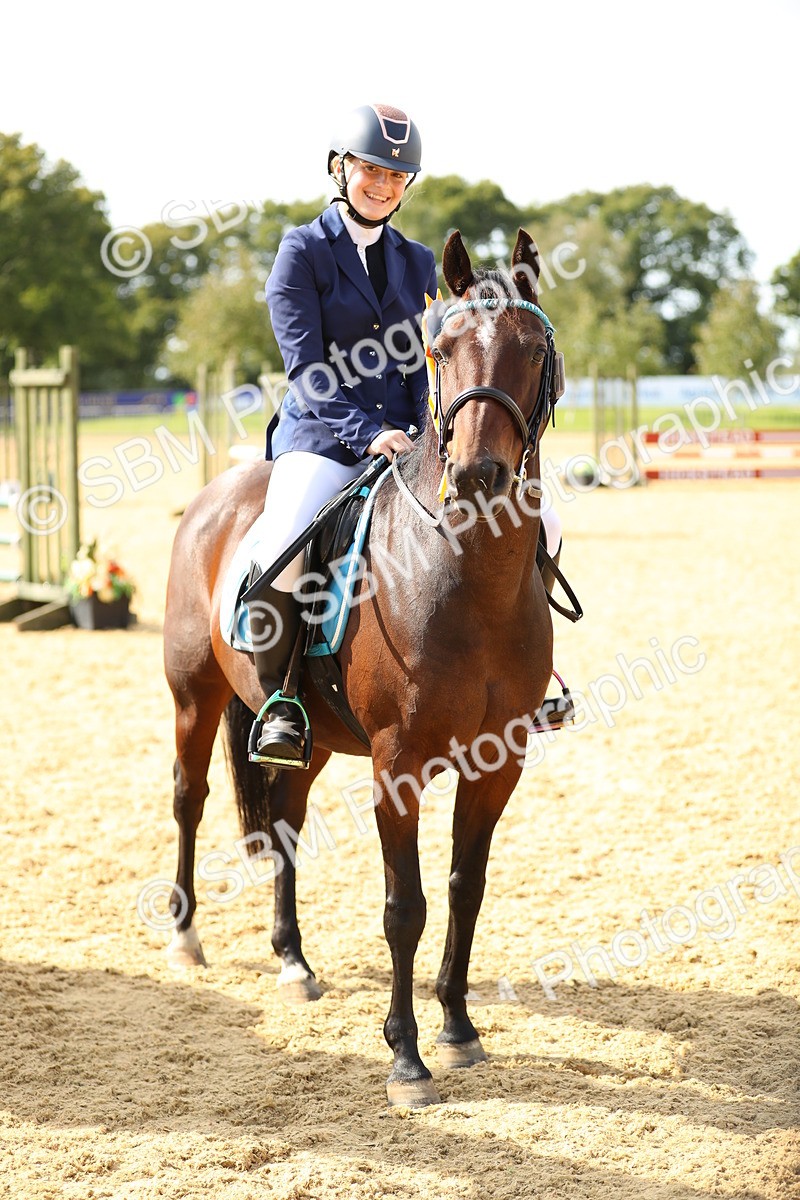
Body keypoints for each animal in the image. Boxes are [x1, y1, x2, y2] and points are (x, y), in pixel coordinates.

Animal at [163, 228, 561, 1108]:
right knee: (189, 799)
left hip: (305, 741)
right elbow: (404, 906)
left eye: (533, 348)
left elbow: (465, 889)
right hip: (193, 696)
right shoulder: (397, 764)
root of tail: (222, 489)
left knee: (283, 821)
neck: (467, 573)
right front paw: (405, 1057)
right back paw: (184, 934)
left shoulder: (499, 762)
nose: (478, 476)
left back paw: (293, 961)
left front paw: (458, 1028)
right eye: (441, 349)